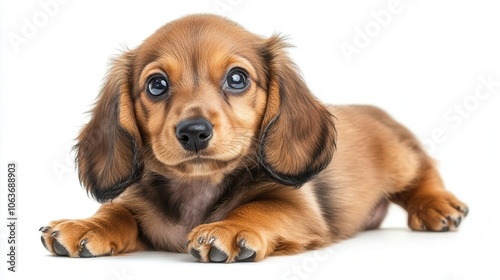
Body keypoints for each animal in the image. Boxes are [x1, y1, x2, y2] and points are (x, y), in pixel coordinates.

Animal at [40, 13, 468, 262]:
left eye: (237, 78)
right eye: (156, 85)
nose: (193, 132)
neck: (198, 189)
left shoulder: (296, 207)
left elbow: (259, 208)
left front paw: (228, 229)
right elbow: (116, 211)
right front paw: (86, 226)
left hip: (401, 160)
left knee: (423, 170)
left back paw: (437, 205)